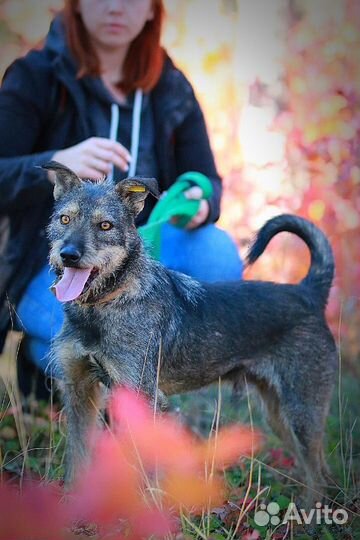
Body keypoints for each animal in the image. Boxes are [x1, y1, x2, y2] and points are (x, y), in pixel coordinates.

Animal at [44, 160, 338, 502]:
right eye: (65, 219)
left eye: (105, 226)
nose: (68, 254)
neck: (102, 306)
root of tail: (308, 293)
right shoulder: (80, 391)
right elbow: (77, 459)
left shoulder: (143, 398)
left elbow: (141, 468)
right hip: (280, 416)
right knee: (321, 470)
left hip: (302, 411)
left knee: (317, 475)